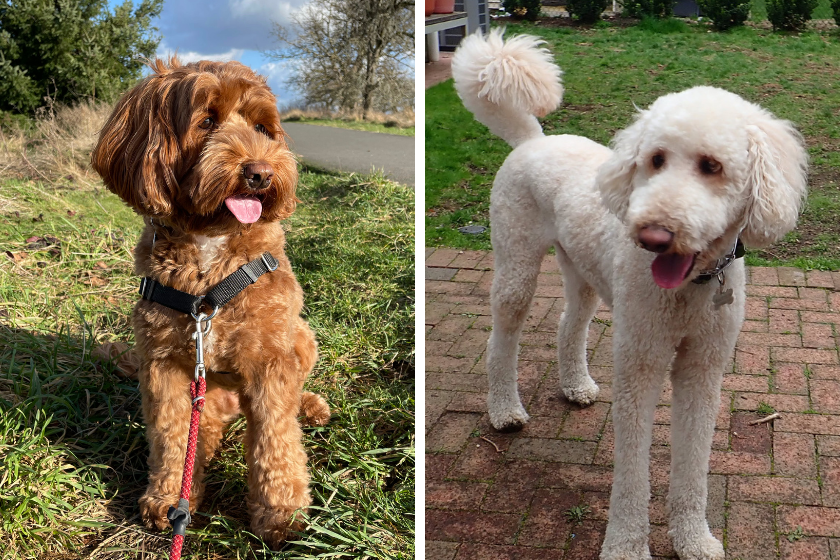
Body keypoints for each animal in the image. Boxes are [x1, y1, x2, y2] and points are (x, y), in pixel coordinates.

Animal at [90, 58, 330, 548]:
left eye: (262, 127)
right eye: (206, 122)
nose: (260, 172)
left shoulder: (271, 360)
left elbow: (277, 438)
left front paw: (281, 513)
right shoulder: (163, 364)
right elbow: (171, 435)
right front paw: (169, 498)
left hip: (301, 335)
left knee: (292, 398)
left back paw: (310, 405)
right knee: (204, 425)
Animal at [452, 29, 808, 560]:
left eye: (713, 166)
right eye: (655, 159)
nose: (653, 235)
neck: (692, 286)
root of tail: (535, 139)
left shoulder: (704, 367)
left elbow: (694, 461)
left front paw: (694, 537)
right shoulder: (640, 363)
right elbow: (633, 468)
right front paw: (626, 544)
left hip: (583, 271)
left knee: (569, 325)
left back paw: (576, 385)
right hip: (517, 263)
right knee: (503, 337)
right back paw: (504, 410)